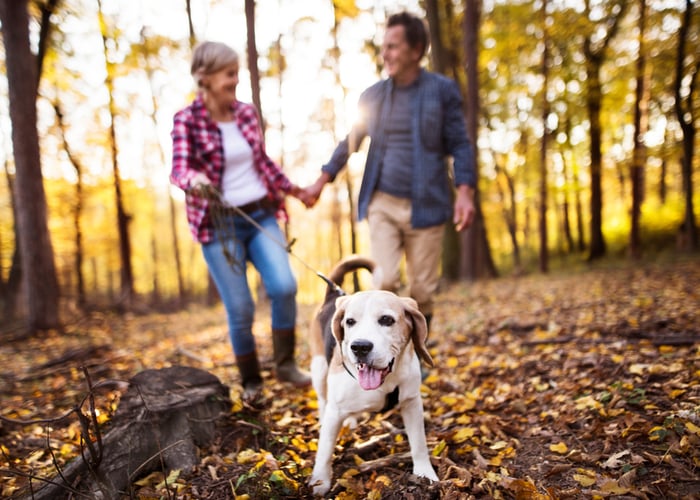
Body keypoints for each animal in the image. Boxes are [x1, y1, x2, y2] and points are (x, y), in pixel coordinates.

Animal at [308, 258, 434, 496]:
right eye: (350, 322)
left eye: (386, 320)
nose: (360, 347)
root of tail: (333, 294)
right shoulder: (334, 412)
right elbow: (325, 450)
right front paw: (320, 481)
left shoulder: (412, 402)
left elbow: (419, 443)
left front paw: (426, 474)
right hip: (318, 369)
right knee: (322, 400)